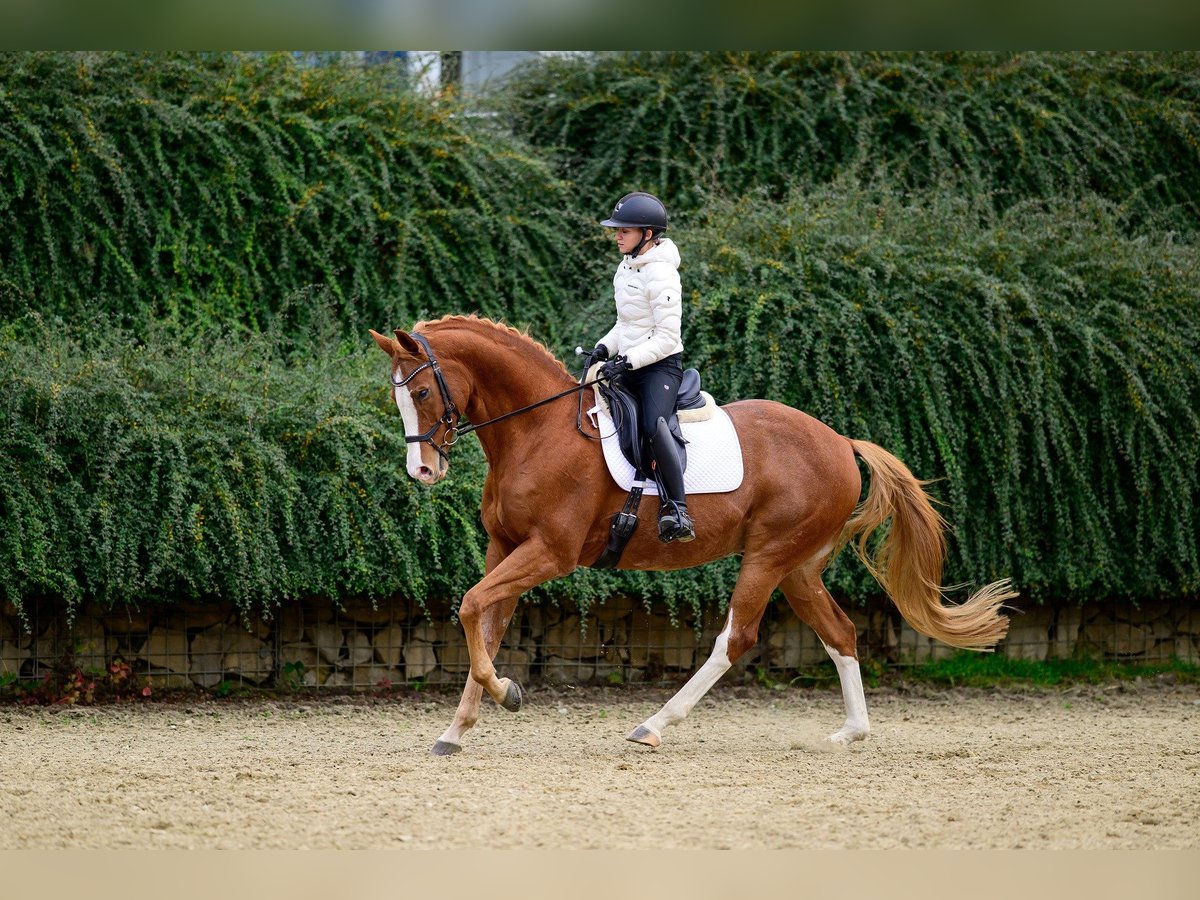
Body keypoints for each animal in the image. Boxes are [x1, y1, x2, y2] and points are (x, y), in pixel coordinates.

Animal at [369, 314, 1014, 755]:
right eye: (397, 396)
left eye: (421, 392)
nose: (421, 472)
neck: (538, 432)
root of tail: (839, 442)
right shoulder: (504, 549)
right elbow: (485, 622)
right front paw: (458, 728)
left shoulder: (548, 554)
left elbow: (471, 605)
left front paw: (507, 695)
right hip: (798, 568)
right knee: (841, 632)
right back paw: (850, 732)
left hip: (768, 557)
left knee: (736, 638)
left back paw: (654, 725)